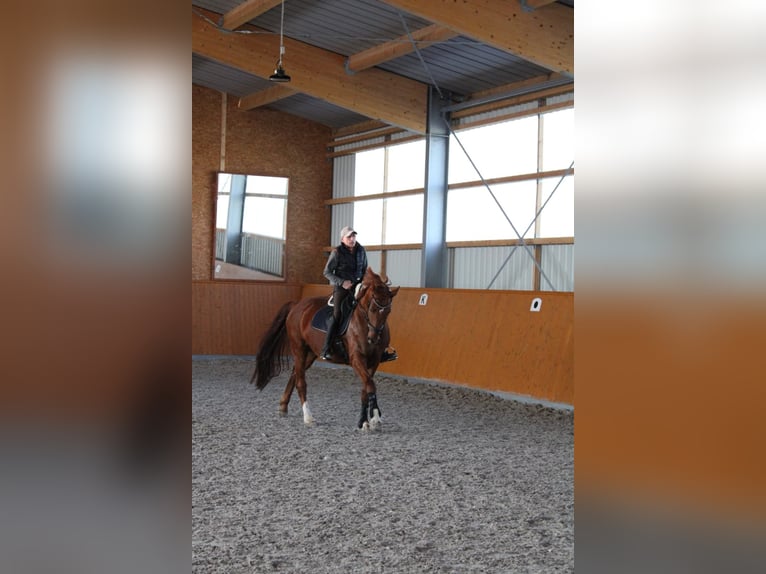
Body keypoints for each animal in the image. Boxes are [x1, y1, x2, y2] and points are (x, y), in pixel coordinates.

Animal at [250, 267, 400, 430]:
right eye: (371, 308)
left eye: (388, 311)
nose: (373, 339)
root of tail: (296, 305)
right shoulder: (356, 359)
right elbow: (370, 385)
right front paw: (371, 419)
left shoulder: (374, 360)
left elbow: (366, 387)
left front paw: (368, 419)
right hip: (299, 349)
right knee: (300, 381)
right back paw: (308, 417)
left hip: (310, 353)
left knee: (295, 374)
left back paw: (283, 407)